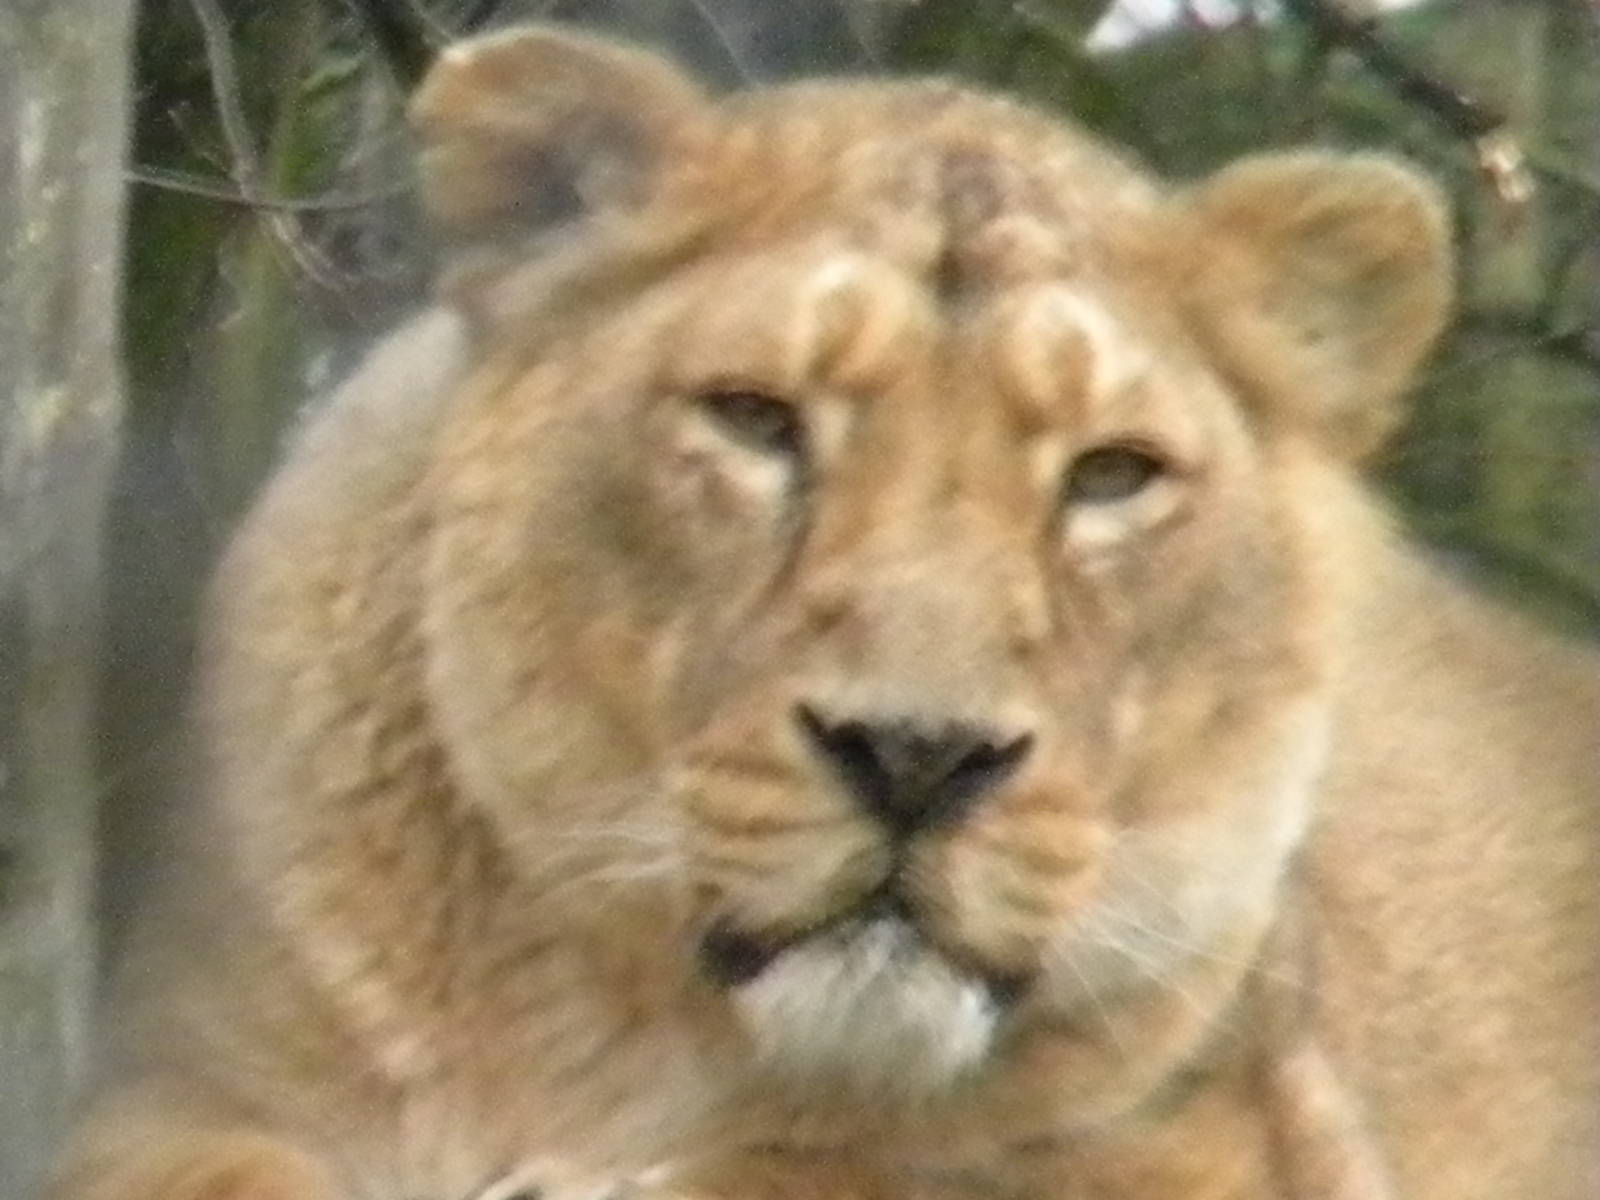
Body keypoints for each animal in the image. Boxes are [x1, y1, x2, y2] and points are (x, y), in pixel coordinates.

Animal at [51, 23, 1597, 1200]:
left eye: (1110, 475)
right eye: (756, 418)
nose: (921, 759)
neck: (611, 1053)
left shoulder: (1222, 1143)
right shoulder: (174, 1086)